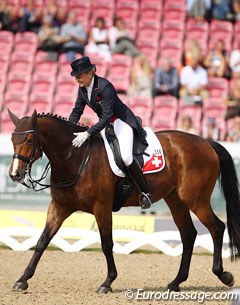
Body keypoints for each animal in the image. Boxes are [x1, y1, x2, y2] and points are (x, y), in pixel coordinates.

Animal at [6, 109, 240, 292]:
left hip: (196, 200)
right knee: (189, 234)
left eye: (29, 140)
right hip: (176, 200)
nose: (15, 174)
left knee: (217, 228)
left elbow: (106, 243)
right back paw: (176, 282)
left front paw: (107, 282)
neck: (76, 158)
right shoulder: (59, 207)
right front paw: (22, 280)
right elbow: (42, 241)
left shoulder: (101, 208)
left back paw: (223, 275)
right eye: (12, 140)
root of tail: (206, 142)